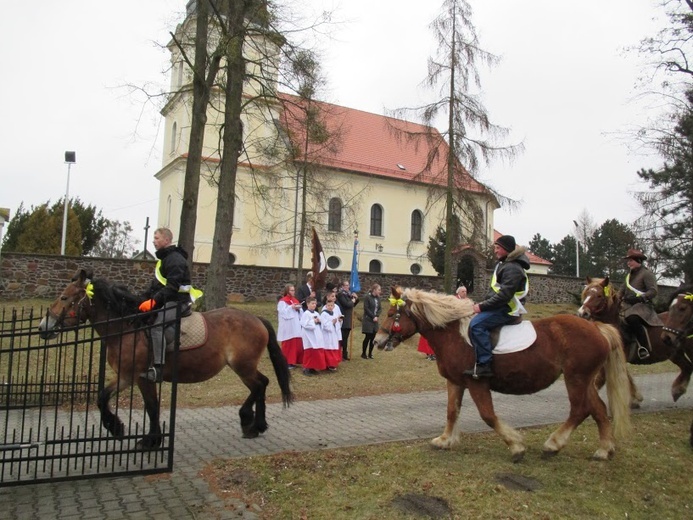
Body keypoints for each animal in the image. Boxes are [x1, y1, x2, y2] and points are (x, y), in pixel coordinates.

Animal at [38, 270, 292, 448]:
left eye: (64, 297)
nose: (43, 327)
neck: (128, 327)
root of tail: (257, 320)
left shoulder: (140, 377)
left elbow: (151, 407)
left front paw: (148, 439)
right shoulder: (126, 376)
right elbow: (103, 397)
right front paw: (119, 428)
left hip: (243, 366)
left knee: (259, 385)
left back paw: (249, 421)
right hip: (244, 366)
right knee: (263, 384)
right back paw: (257, 425)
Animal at [376, 286, 628, 462]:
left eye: (391, 313)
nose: (378, 340)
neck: (455, 335)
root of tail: (597, 328)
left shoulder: (477, 383)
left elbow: (488, 415)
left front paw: (516, 445)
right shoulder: (455, 382)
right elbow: (451, 411)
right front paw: (445, 440)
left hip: (575, 378)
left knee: (579, 410)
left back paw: (553, 444)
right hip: (586, 380)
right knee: (598, 409)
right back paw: (604, 450)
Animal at [576, 276, 692, 406]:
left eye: (599, 295)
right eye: (586, 293)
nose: (582, 313)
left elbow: (599, 380)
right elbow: (626, 376)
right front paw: (636, 398)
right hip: (675, 353)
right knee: (687, 367)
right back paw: (678, 390)